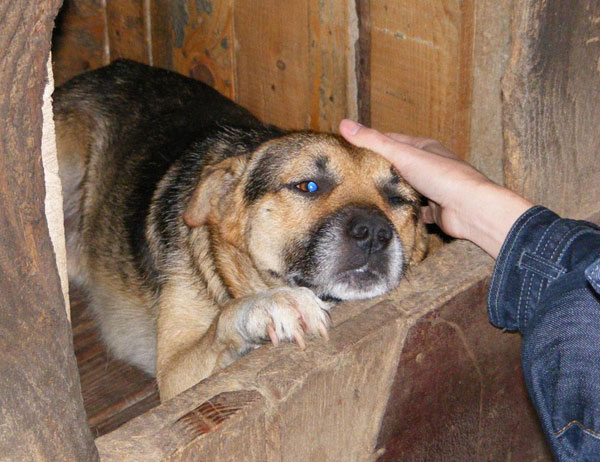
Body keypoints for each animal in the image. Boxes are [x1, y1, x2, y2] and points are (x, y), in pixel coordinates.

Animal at [54, 58, 434, 400]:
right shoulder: (174, 373)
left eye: (398, 200)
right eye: (308, 186)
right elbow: (225, 319)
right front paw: (271, 305)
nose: (374, 234)